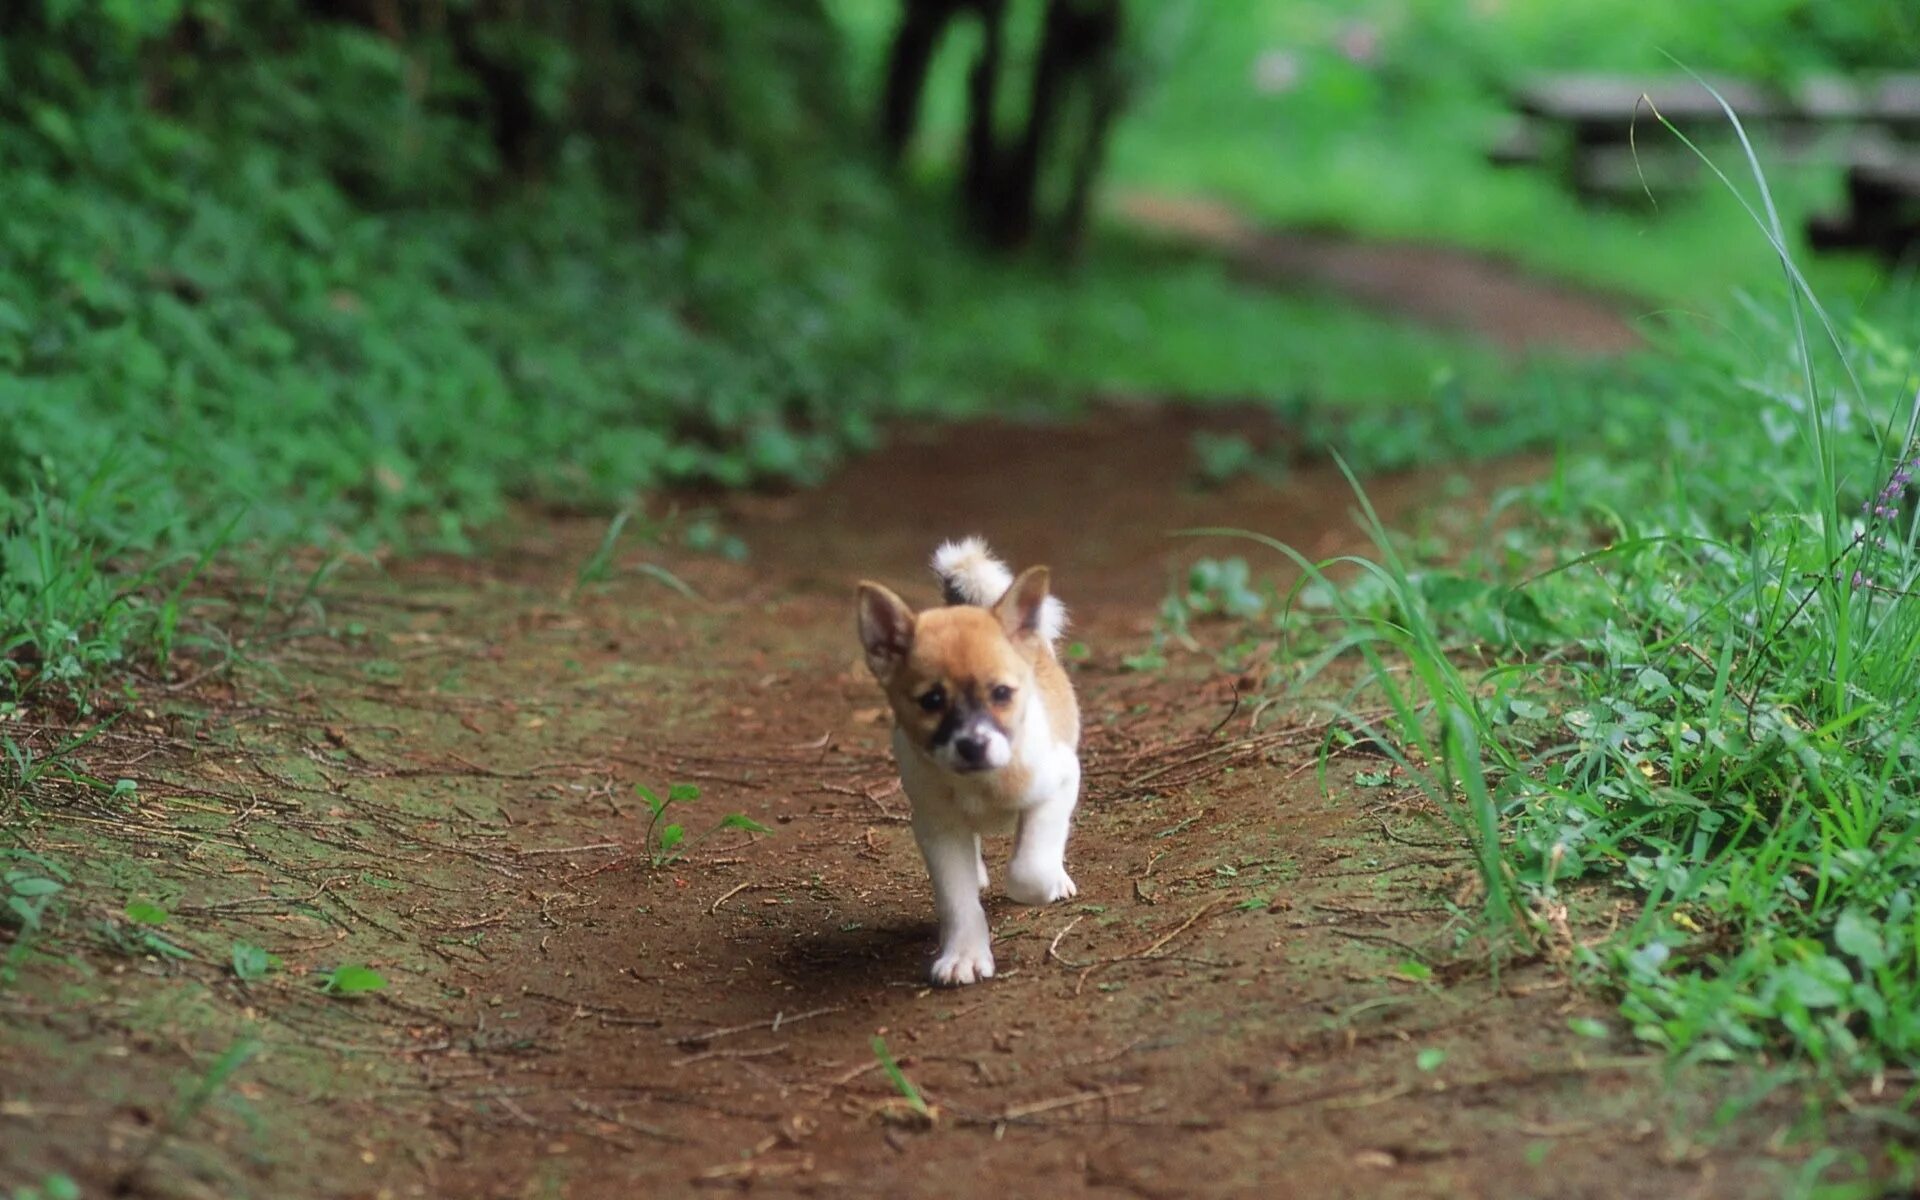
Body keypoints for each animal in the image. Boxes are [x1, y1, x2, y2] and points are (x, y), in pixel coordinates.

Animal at [856, 537, 1082, 983]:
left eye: (1001, 693)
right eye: (931, 701)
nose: (972, 746)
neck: (980, 784)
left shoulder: (1061, 781)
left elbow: (1029, 869)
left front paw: (1045, 882)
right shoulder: (937, 827)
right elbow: (956, 900)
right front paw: (964, 954)